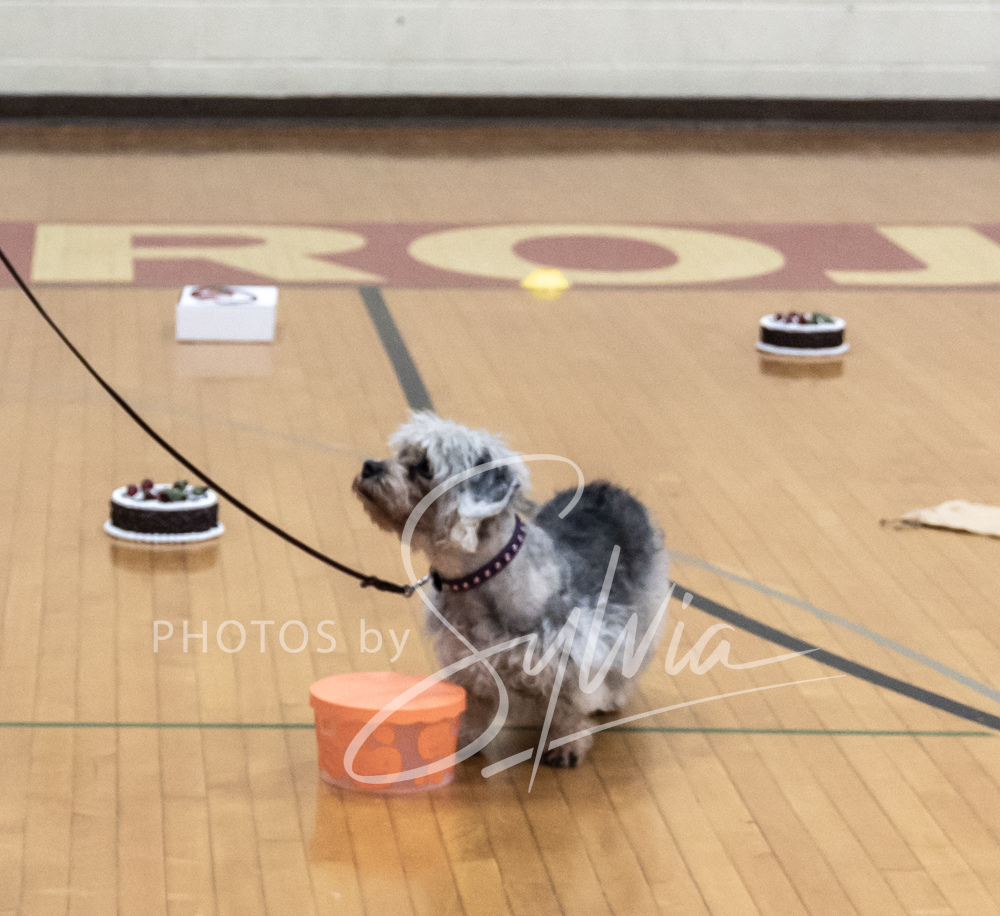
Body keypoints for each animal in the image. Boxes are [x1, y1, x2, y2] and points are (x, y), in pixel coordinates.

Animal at [353, 412, 669, 767]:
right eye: (401, 454)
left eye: (424, 466)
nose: (369, 466)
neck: (477, 583)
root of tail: (608, 489)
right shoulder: (467, 663)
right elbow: (474, 711)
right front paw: (464, 742)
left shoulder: (571, 658)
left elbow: (568, 709)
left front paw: (568, 745)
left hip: (643, 611)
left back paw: (613, 695)